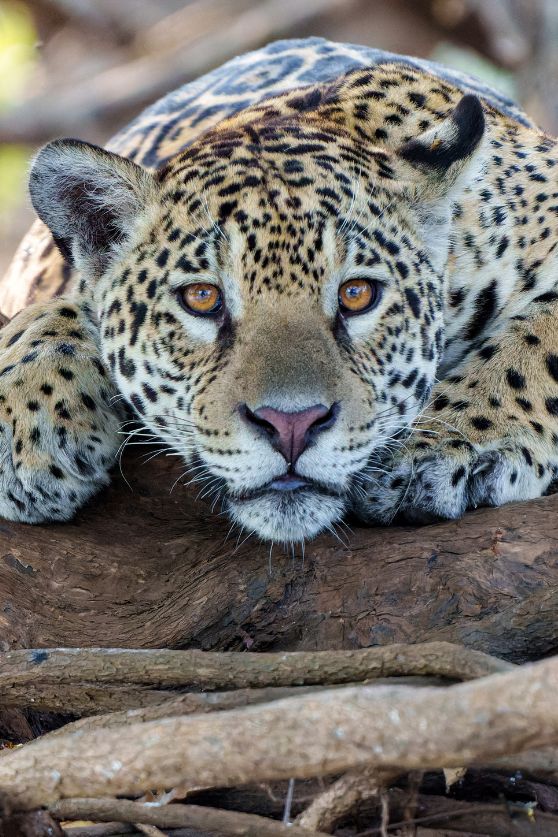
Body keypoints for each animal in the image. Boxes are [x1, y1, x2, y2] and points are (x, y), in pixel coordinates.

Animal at [1, 37, 558, 543]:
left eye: (357, 294)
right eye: (202, 299)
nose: (292, 426)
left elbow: (540, 336)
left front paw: (448, 443)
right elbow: (58, 312)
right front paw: (22, 429)